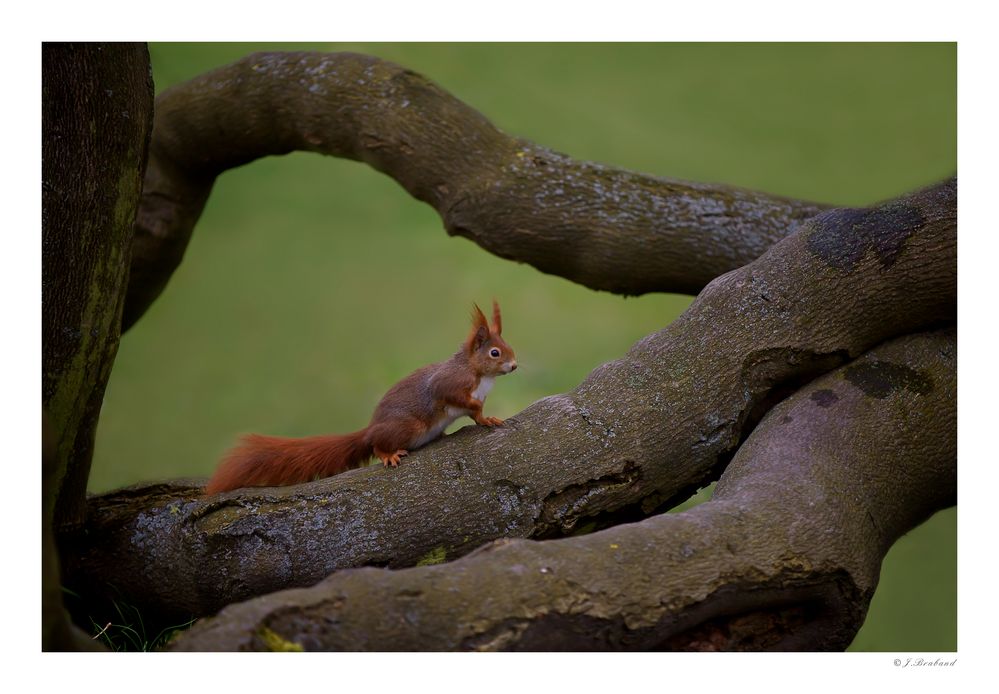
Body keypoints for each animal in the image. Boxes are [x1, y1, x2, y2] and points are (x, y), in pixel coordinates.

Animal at [203, 304, 516, 494]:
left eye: (508, 347)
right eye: (495, 353)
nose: (514, 366)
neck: (479, 373)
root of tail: (369, 430)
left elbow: (477, 415)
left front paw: (488, 417)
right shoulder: (449, 383)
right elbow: (456, 399)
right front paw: (478, 408)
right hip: (407, 427)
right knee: (378, 445)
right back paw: (388, 453)